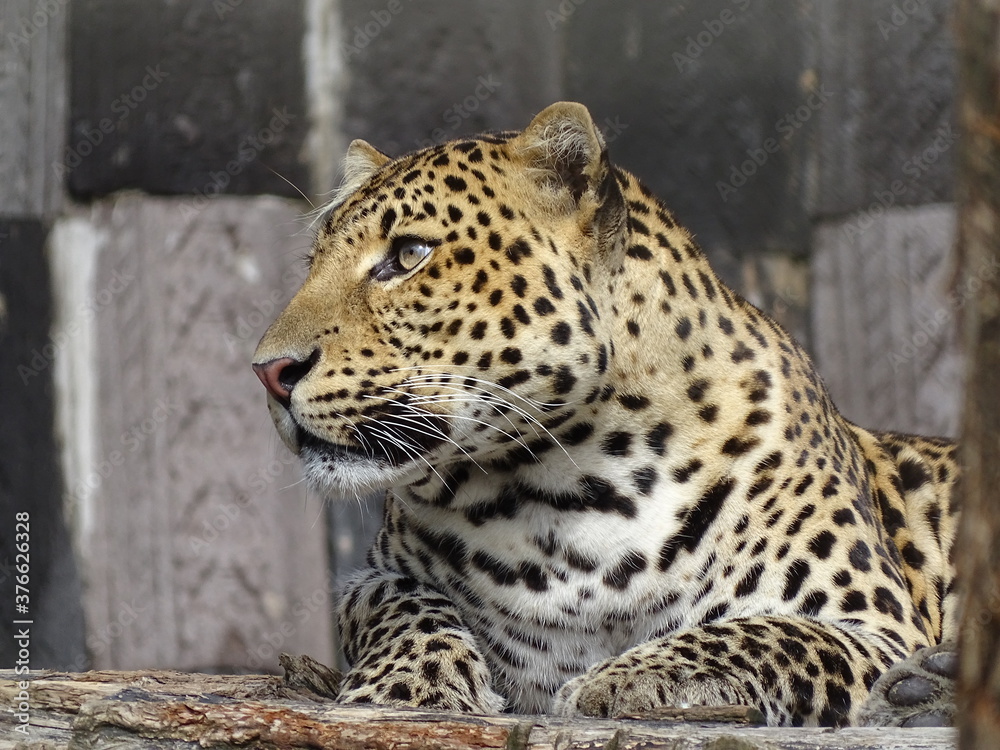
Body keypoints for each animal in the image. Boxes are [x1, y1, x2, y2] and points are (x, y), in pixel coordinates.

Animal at [252, 101, 961, 727]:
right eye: (313, 263)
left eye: (408, 256)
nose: (268, 372)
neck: (565, 494)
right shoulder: (373, 575)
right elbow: (398, 605)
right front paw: (405, 684)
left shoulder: (870, 622)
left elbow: (757, 634)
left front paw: (619, 681)